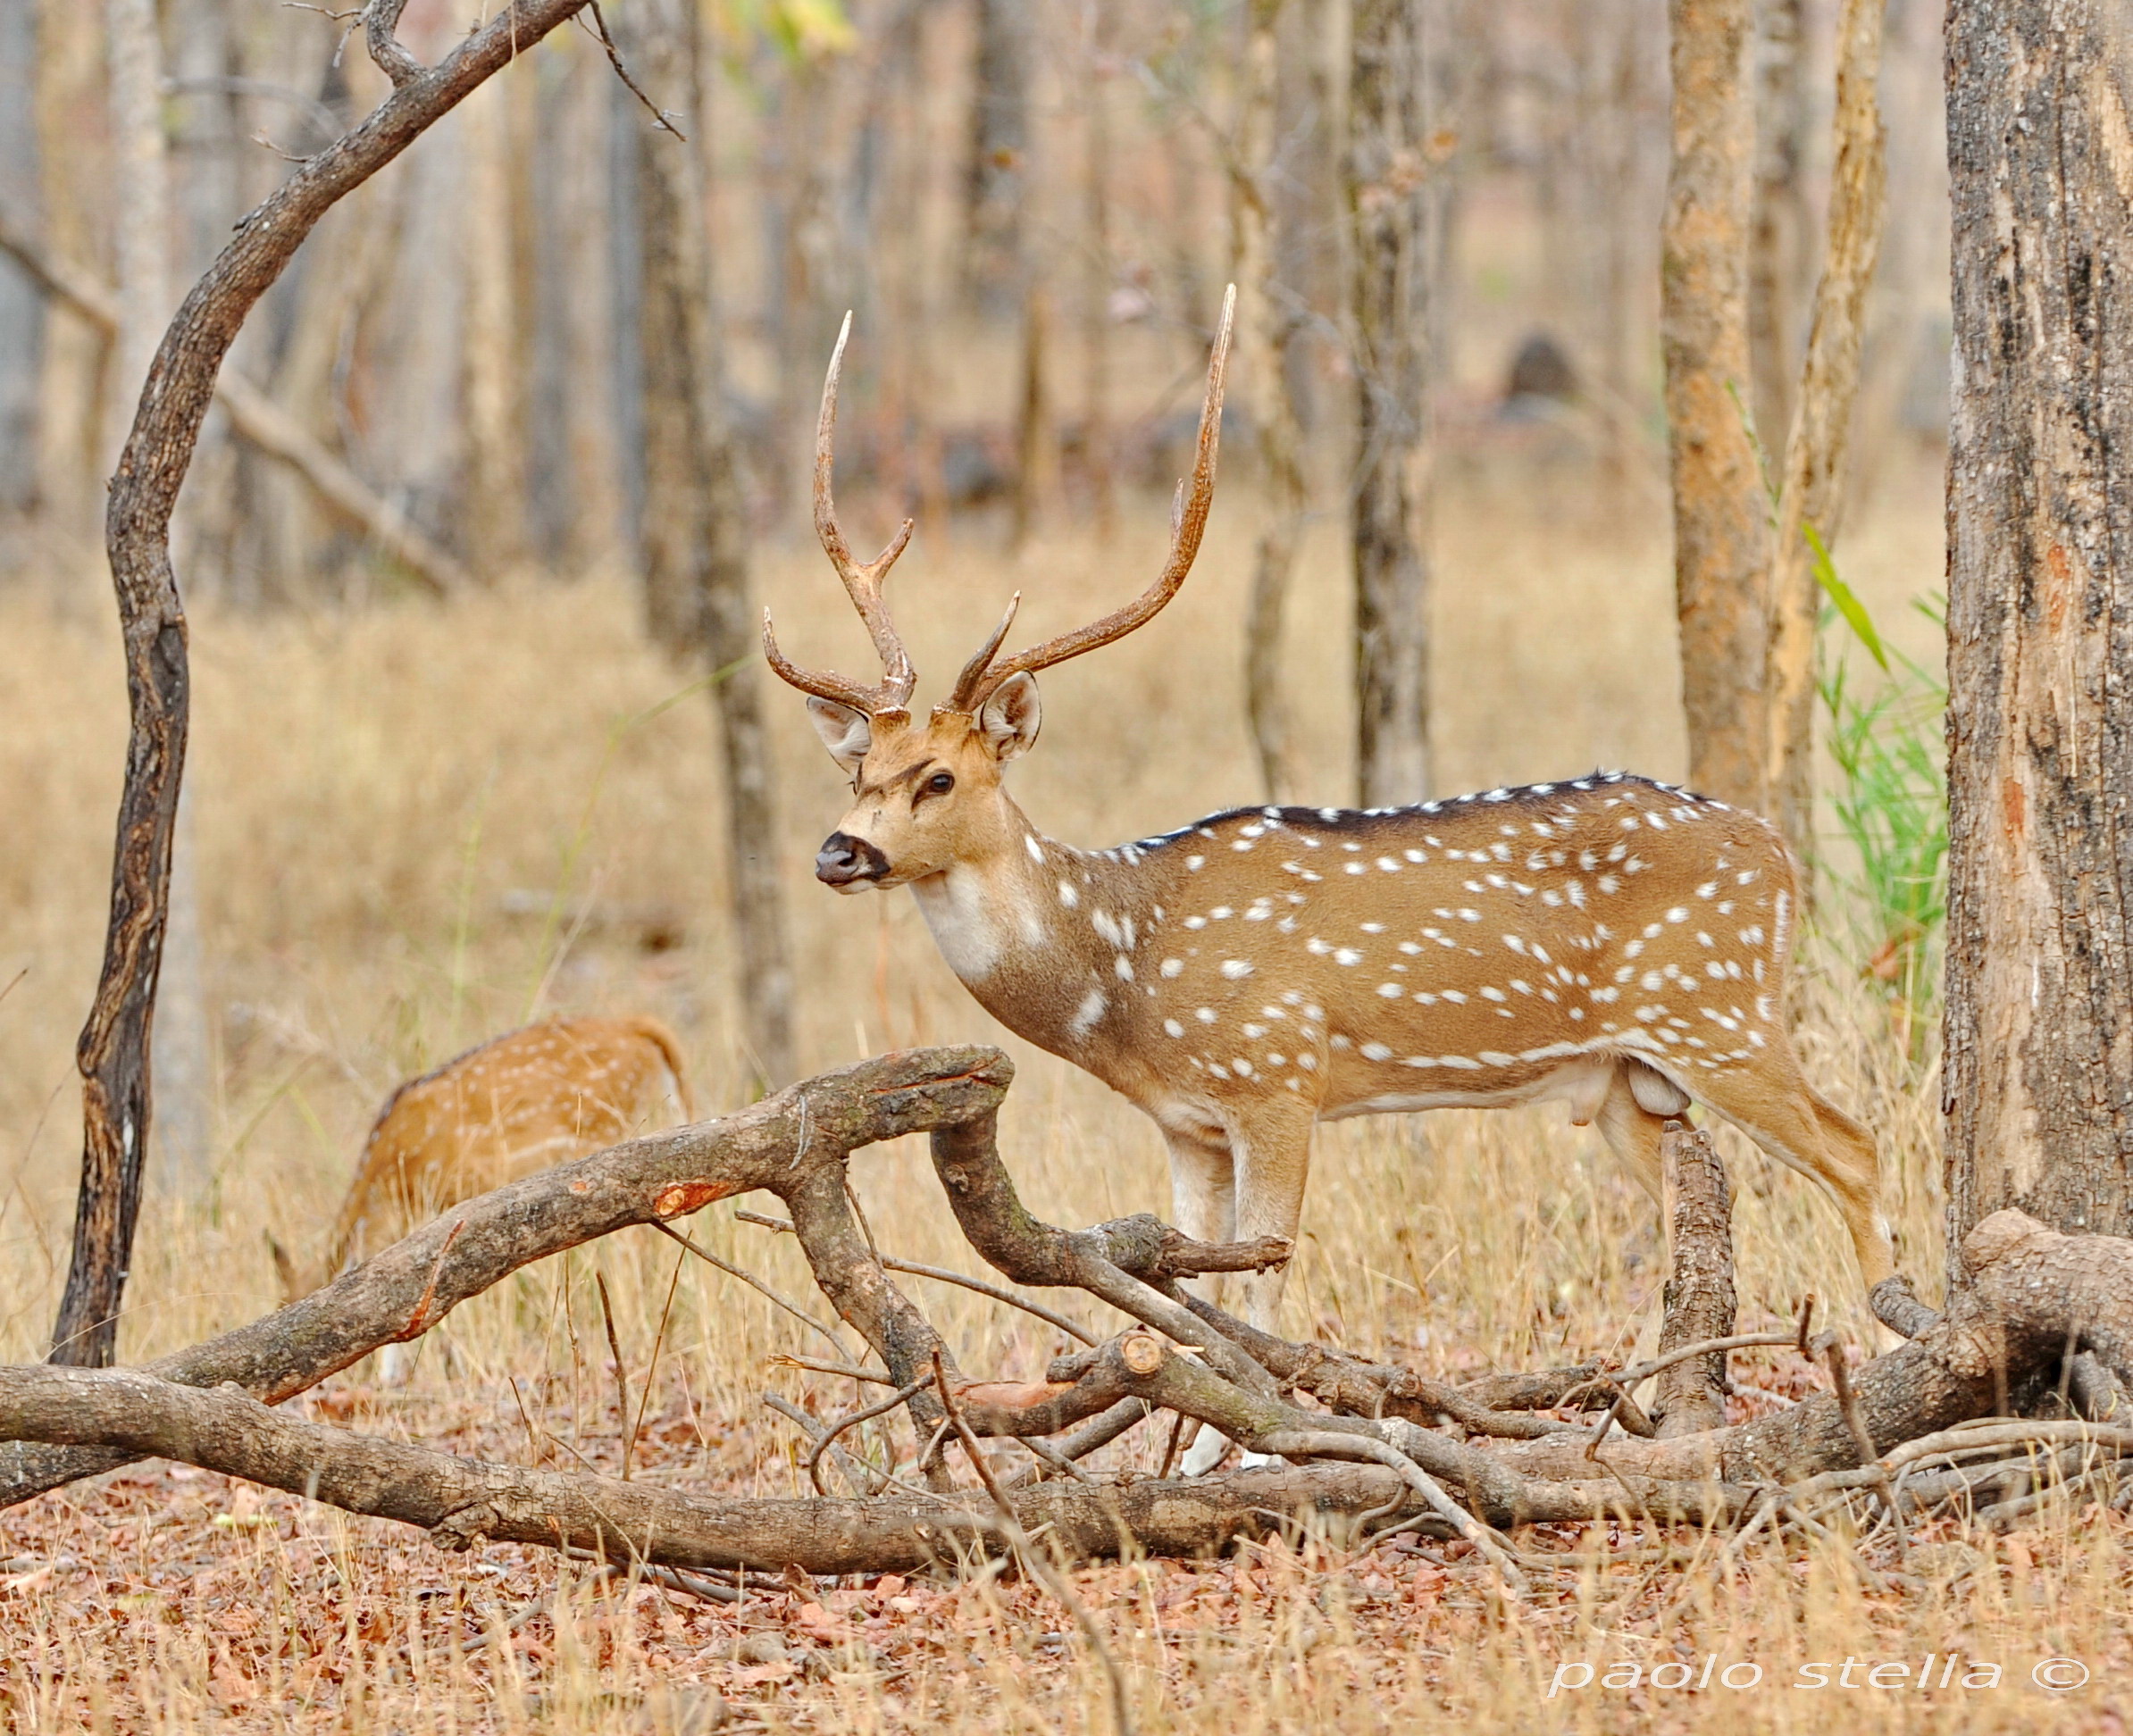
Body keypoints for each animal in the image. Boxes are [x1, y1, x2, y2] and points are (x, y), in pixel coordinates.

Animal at [765, 288, 1893, 1468]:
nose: (840, 851)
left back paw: (1890, 1338)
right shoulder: (1186, 1124)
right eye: (858, 769)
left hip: (1719, 1011)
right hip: (1627, 1074)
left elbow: (1263, 1269)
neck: (1125, 971)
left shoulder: (1276, 1076)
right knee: (1690, 1210)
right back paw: (1631, 1405)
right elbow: (1180, 1285)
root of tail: (1779, 855)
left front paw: (1251, 1449)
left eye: (938, 777)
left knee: (1854, 1148)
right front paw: (1200, 1441)